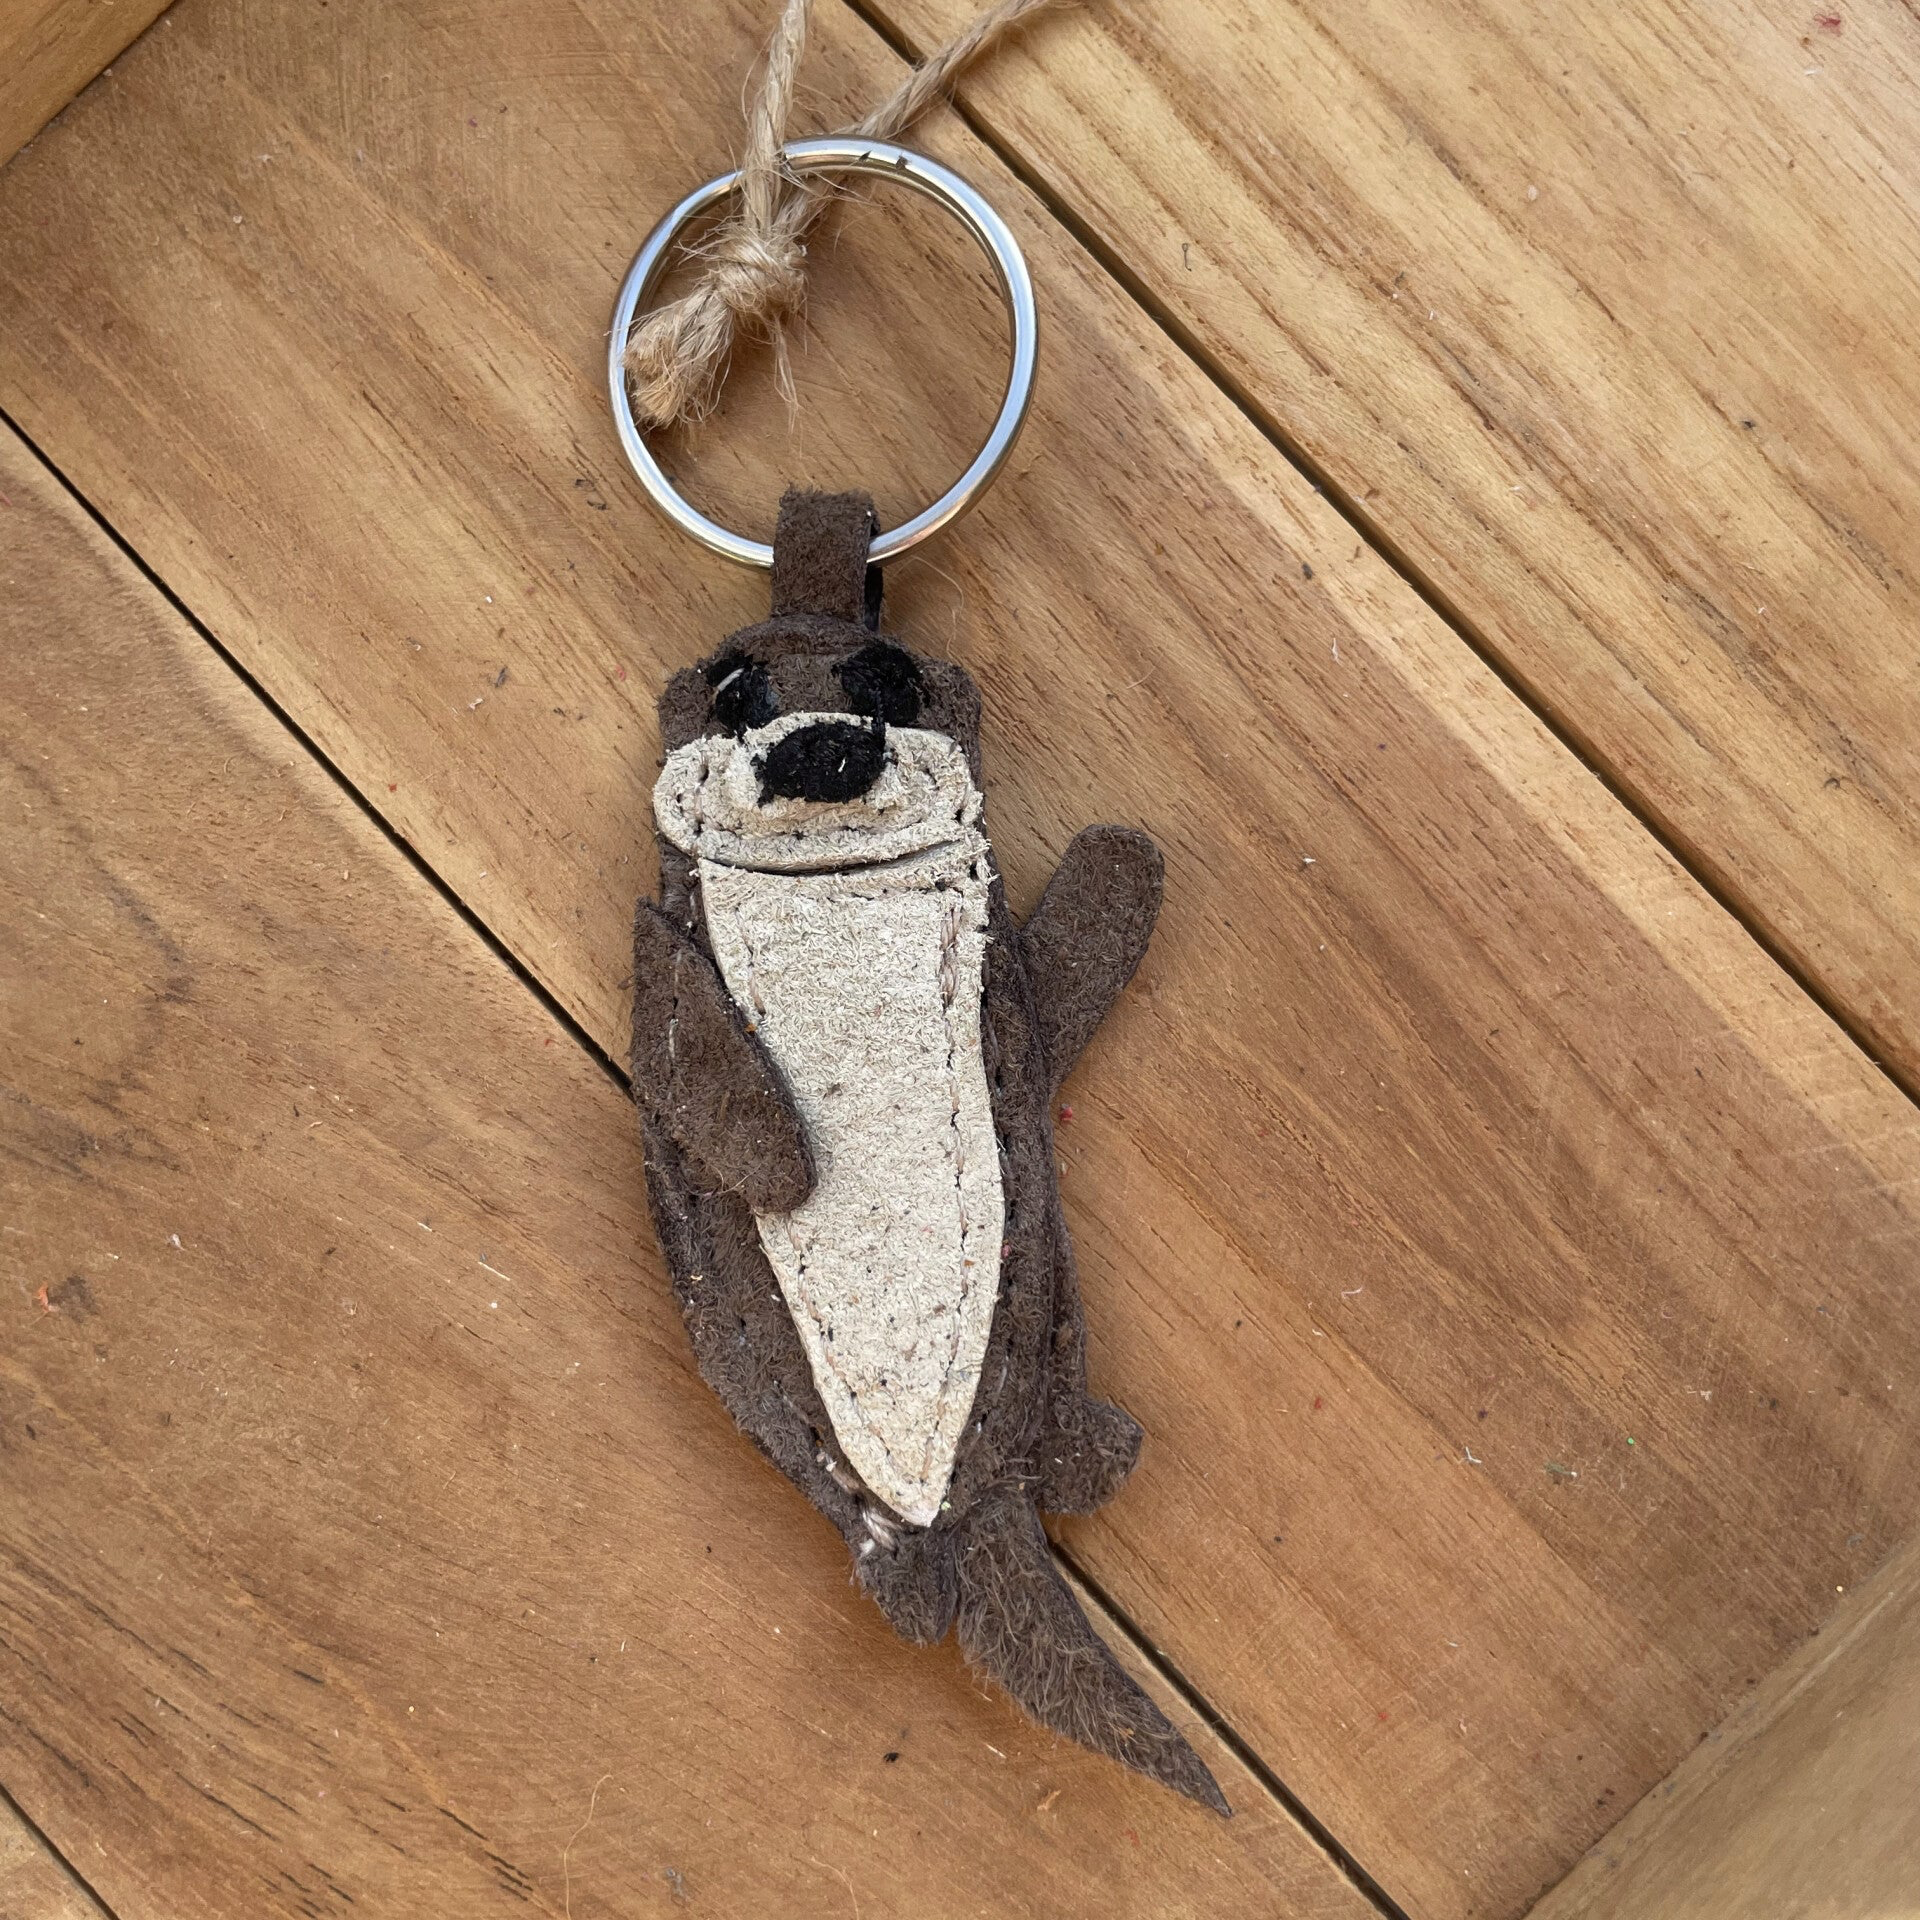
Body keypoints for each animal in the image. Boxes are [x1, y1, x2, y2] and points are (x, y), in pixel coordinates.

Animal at [631, 490, 1225, 1812]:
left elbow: (1086, 927)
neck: (833, 888)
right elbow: (705, 1069)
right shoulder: (661, 952)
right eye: (733, 693)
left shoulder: (1003, 952)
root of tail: (967, 1510)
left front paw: (1119, 862)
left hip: (1045, 1351)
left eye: (891, 680)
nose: (817, 750)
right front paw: (789, 1168)